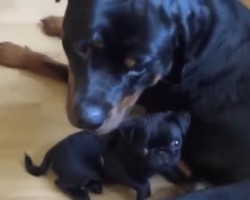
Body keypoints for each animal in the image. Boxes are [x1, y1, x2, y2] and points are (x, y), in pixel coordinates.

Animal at [24, 111, 190, 200]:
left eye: (176, 143)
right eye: (144, 149)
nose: (161, 153)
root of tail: (53, 149)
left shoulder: (165, 164)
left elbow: (170, 169)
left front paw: (182, 178)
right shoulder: (121, 172)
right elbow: (143, 184)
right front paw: (144, 194)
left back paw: (95, 187)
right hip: (82, 172)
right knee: (60, 182)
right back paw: (81, 194)